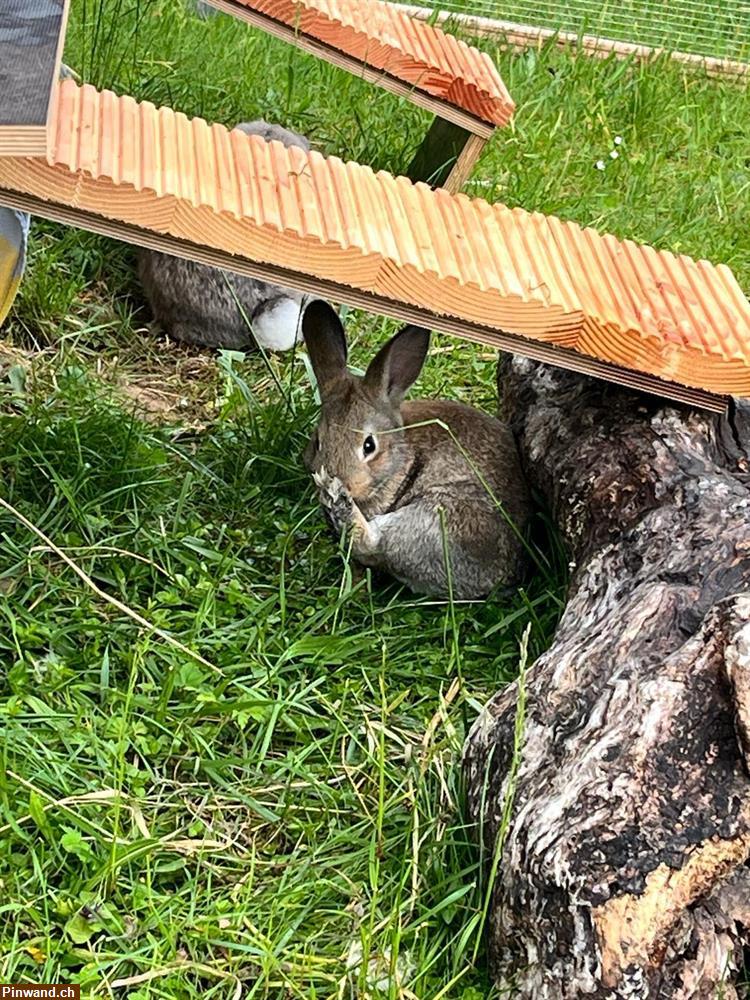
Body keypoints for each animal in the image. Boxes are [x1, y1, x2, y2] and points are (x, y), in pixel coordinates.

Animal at [302, 300, 532, 596]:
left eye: (369, 445)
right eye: (318, 441)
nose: (342, 481)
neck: (401, 458)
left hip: (432, 518)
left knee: (372, 543)